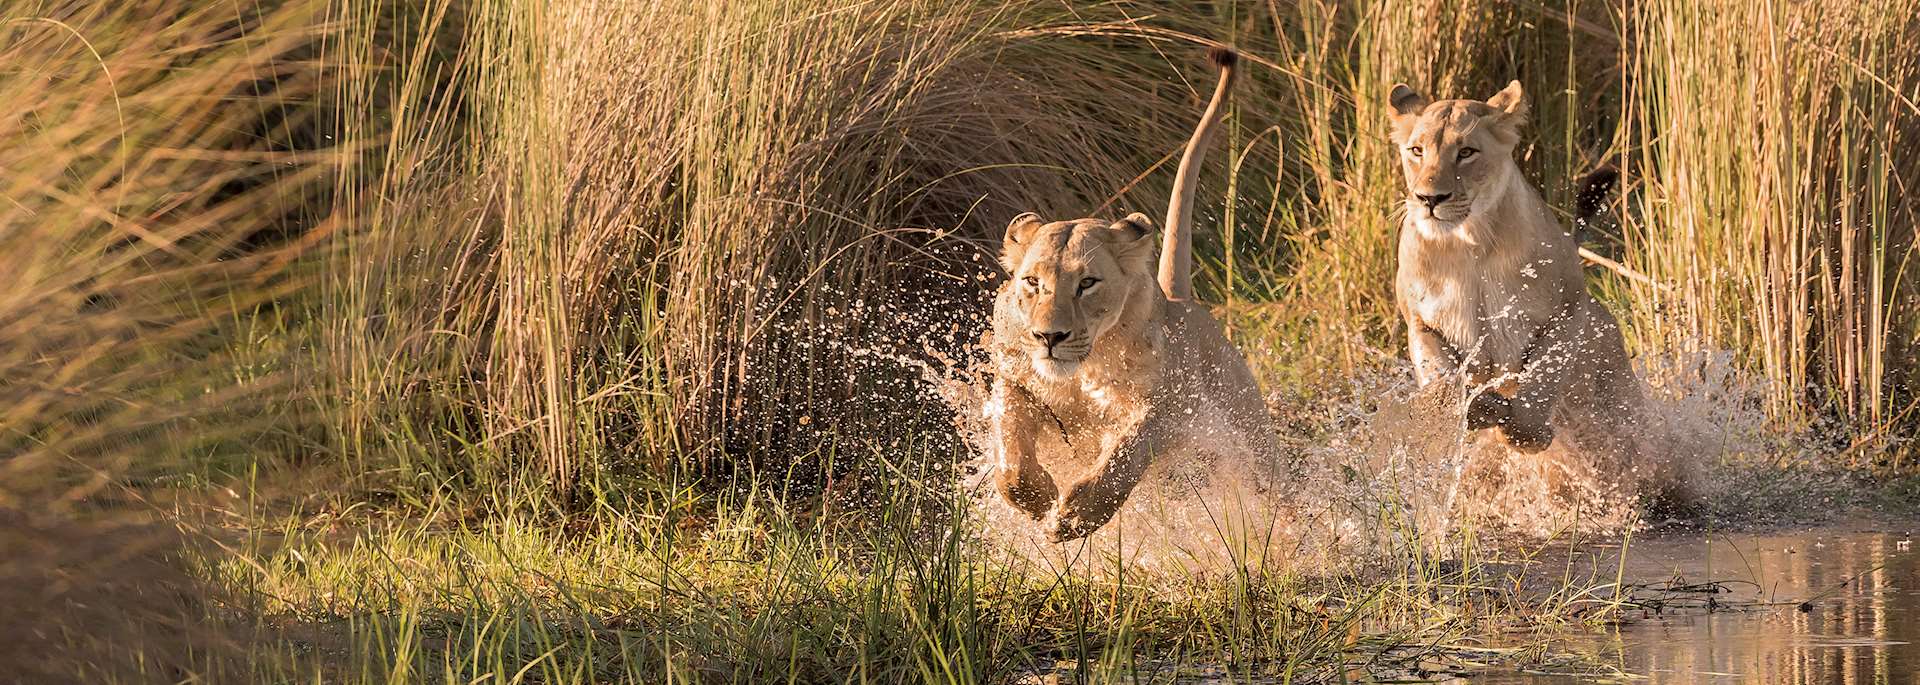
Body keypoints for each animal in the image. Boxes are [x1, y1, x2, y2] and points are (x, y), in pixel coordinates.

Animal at [986, 47, 1277, 542]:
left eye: (1087, 283)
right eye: (1032, 282)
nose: (1049, 337)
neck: (1082, 370)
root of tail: (1183, 301)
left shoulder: (1165, 406)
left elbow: (1127, 451)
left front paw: (1078, 514)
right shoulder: (1016, 380)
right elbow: (1011, 450)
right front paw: (1037, 500)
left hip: (1248, 432)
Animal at [1387, 80, 1686, 511]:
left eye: (1466, 152)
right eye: (1416, 150)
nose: (1429, 199)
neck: (1469, 244)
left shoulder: (1567, 313)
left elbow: (1542, 378)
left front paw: (1524, 432)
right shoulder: (1421, 323)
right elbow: (1444, 377)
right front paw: (1473, 406)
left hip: (1618, 405)